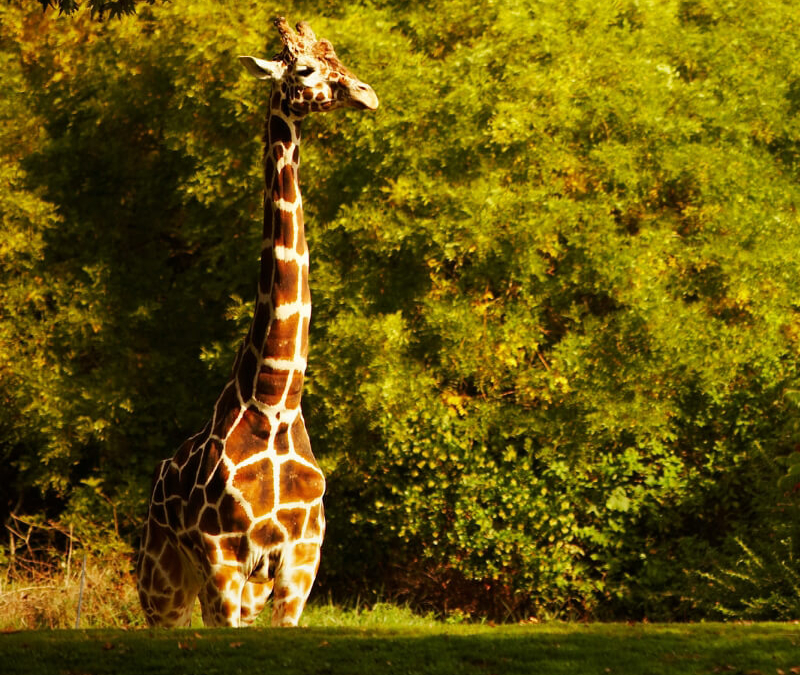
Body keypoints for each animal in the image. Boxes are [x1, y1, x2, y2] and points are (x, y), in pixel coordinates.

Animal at [136, 17, 380, 628]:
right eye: (306, 69)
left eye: (338, 58)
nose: (366, 94)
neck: (275, 402)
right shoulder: (225, 560)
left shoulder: (299, 564)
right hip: (164, 583)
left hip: (239, 587)